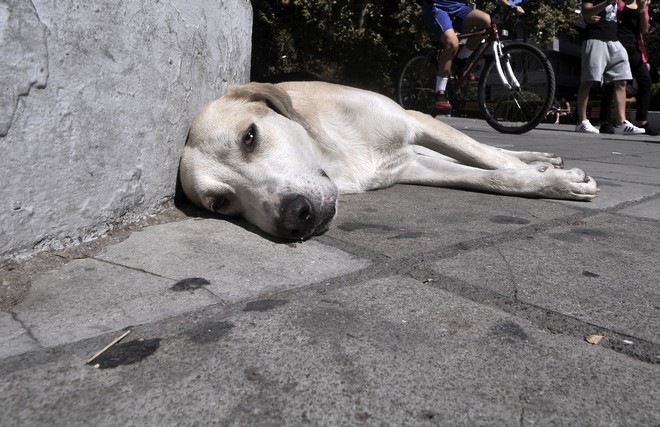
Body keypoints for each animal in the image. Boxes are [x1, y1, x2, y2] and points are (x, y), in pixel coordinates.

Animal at [179, 80, 600, 241]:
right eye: (220, 204)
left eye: (249, 137)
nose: (295, 217)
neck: (334, 154)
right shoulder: (413, 166)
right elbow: (488, 176)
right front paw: (546, 180)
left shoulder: (416, 120)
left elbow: (488, 158)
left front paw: (556, 179)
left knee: (490, 149)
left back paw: (540, 157)